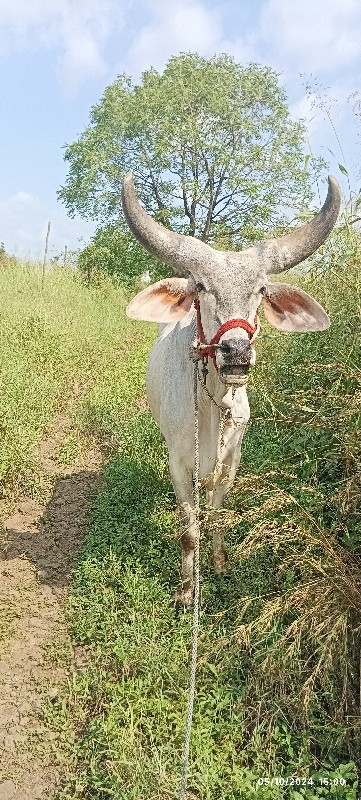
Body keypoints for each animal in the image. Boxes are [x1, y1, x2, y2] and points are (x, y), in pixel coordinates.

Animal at [122, 172, 338, 604]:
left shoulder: (231, 459)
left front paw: (219, 563)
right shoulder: (179, 463)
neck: (212, 406)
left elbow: (217, 513)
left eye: (260, 290)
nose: (236, 351)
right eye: (202, 286)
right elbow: (189, 531)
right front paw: (187, 590)